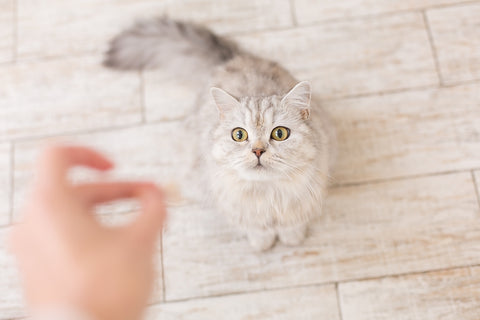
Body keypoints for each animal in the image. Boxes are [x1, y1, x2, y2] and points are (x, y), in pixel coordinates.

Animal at [105, 17, 338, 251]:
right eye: (239, 135)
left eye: (280, 133)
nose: (257, 151)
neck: (267, 194)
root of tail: (232, 59)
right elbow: (257, 228)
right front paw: (262, 243)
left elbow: (292, 224)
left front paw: (292, 238)